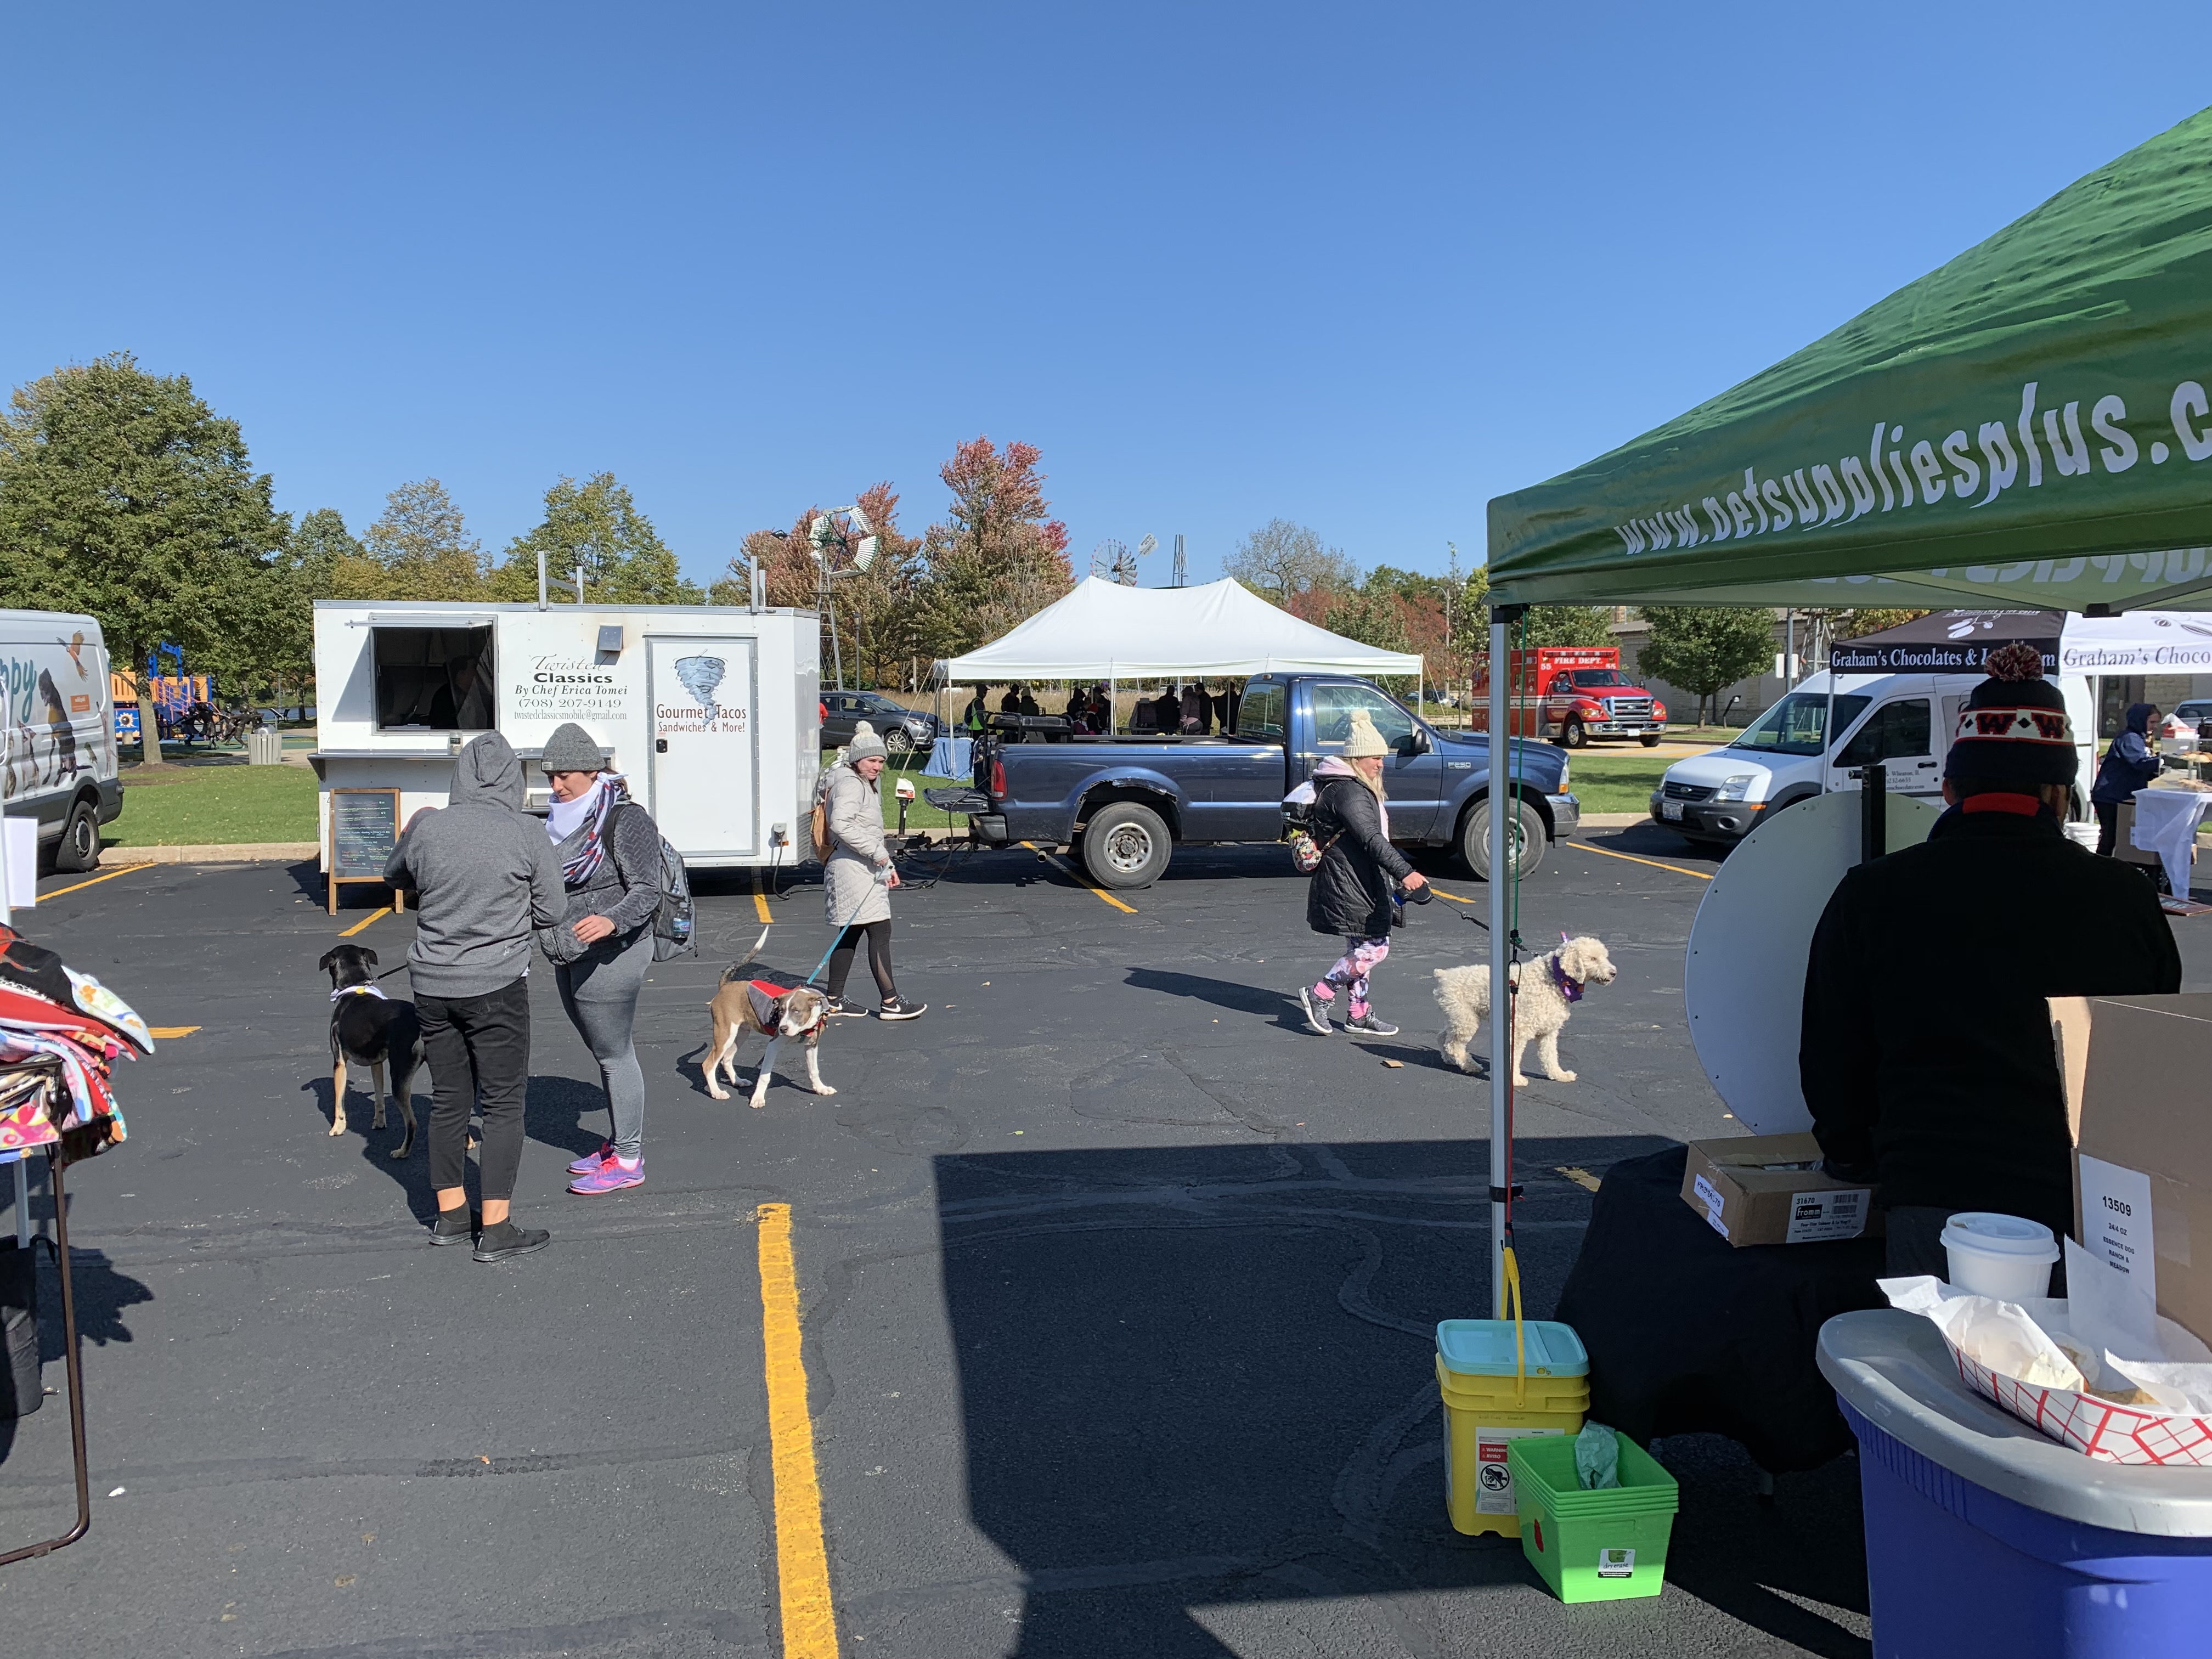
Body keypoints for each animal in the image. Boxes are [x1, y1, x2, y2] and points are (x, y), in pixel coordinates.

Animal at [320, 955, 422, 1159]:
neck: (356, 988)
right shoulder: (376, 1063)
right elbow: (379, 1096)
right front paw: (379, 1123)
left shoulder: (339, 1064)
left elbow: (339, 1102)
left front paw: (338, 1128)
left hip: (399, 1079)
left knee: (412, 1123)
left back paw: (402, 1152)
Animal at [708, 969, 836, 1110]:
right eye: (781, 1011)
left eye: (796, 1011)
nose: (782, 1029)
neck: (804, 1028)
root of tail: (725, 986)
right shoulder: (773, 1045)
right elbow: (765, 1076)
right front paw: (758, 1098)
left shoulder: (811, 1045)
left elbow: (814, 1070)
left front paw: (821, 1088)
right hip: (726, 1033)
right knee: (708, 1064)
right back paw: (717, 1092)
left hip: (741, 1033)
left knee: (726, 1059)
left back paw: (738, 1081)